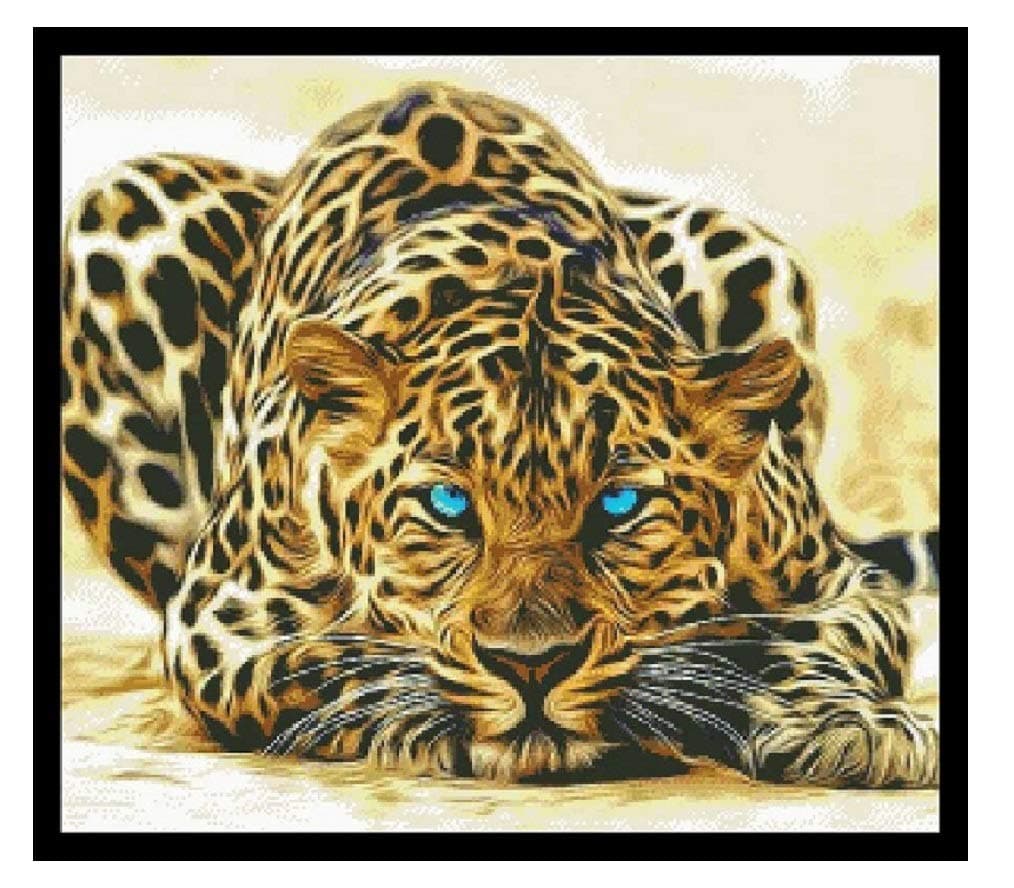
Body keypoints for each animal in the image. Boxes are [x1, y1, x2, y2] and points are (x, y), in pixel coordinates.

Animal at [61, 82, 939, 786]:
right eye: (448, 505)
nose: (532, 664)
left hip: (744, 245)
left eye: (619, 505)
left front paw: (851, 725)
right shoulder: (219, 616)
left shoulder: (838, 582)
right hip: (120, 205)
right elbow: (327, 660)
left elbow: (796, 638)